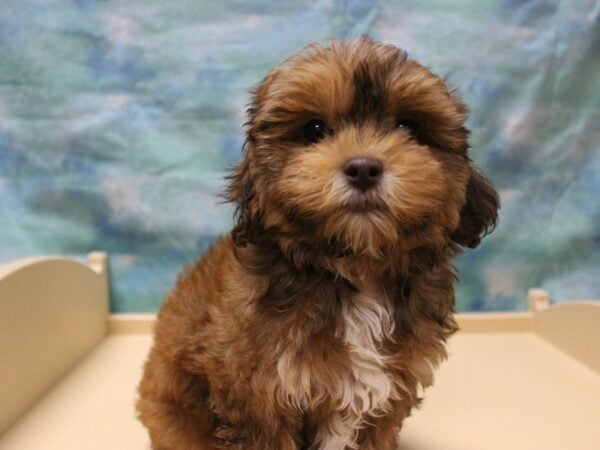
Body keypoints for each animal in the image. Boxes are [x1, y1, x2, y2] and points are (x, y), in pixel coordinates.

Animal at [138, 37, 500, 450]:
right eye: (314, 129)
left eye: (407, 126)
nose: (363, 168)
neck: (355, 270)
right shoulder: (257, 396)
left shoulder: (391, 393)